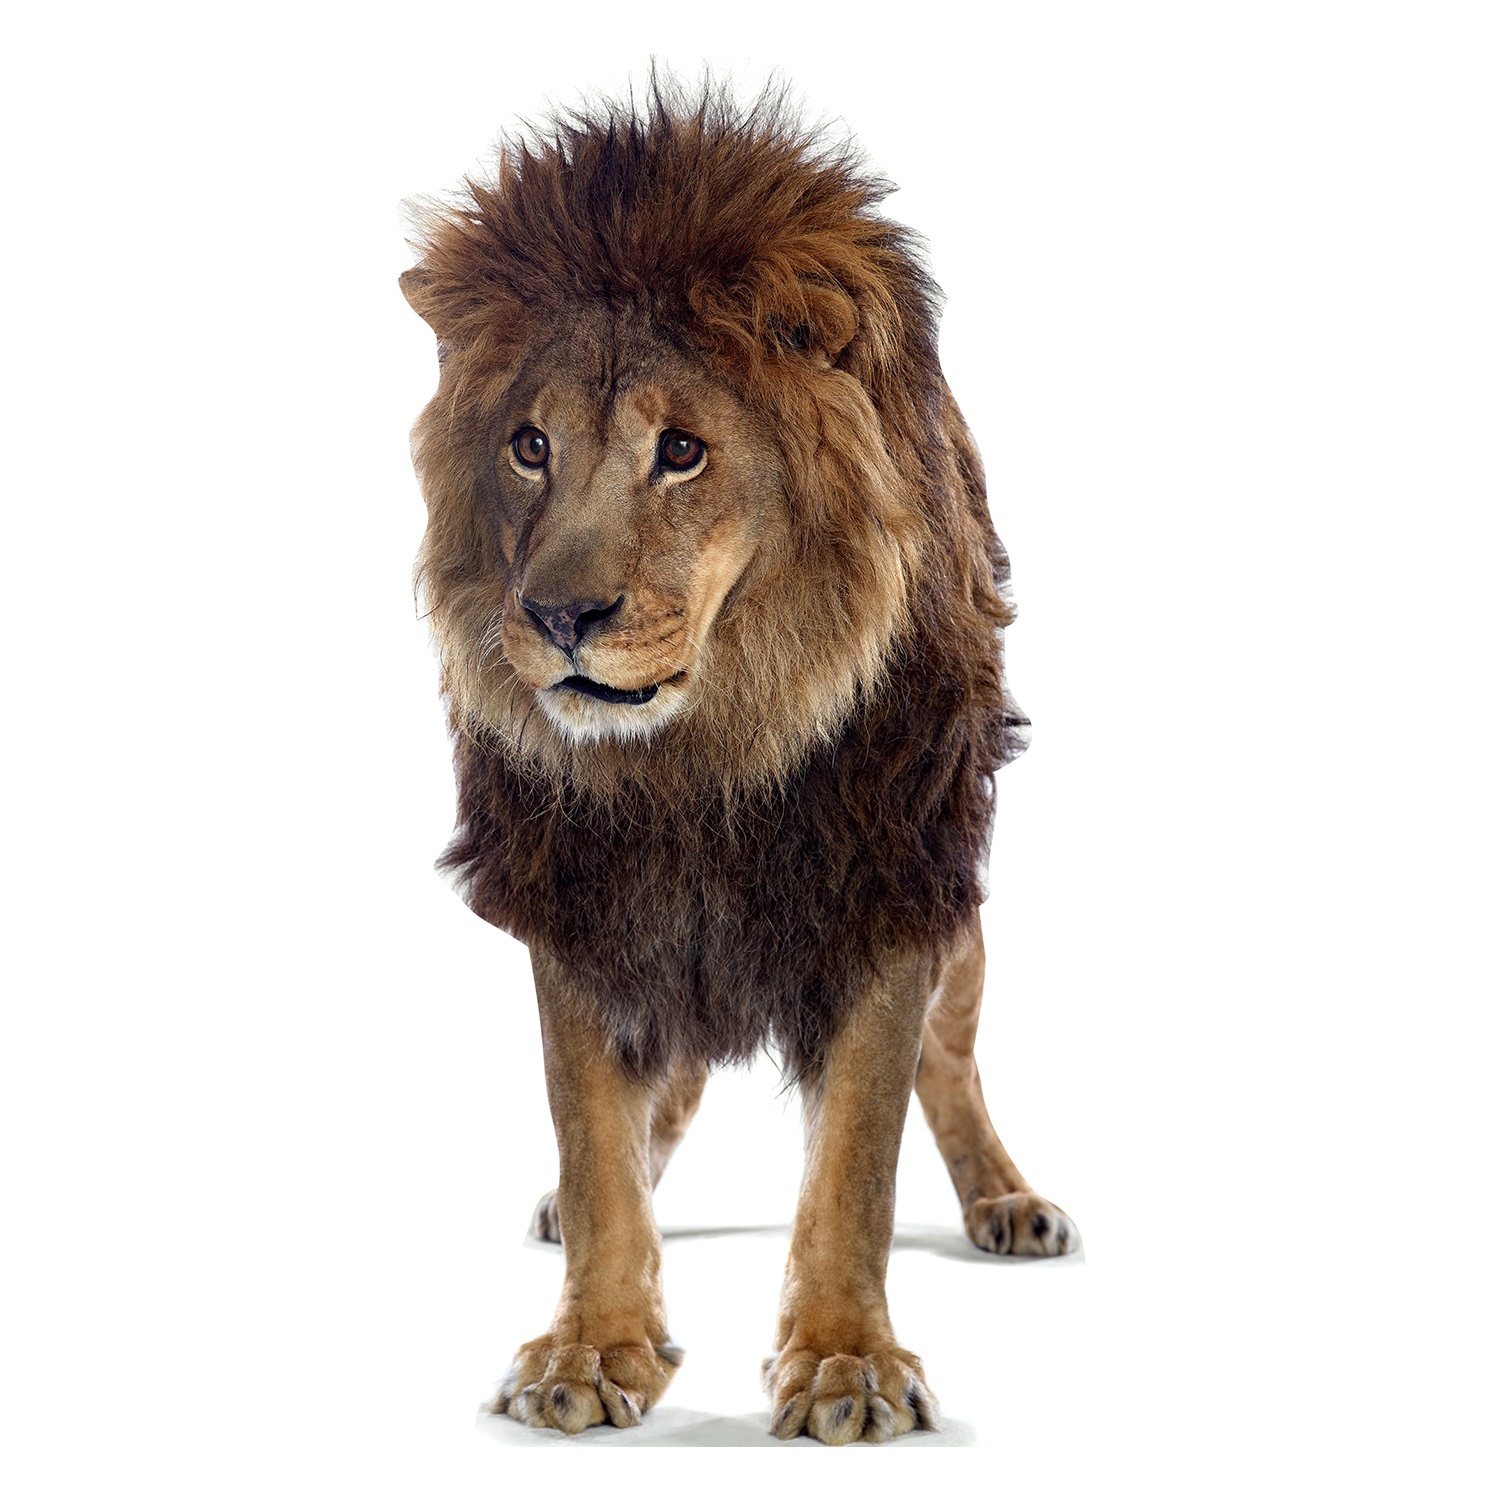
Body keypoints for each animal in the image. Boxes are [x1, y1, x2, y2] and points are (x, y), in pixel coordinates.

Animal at [401, 80, 1079, 1445]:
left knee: (951, 1064)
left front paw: (846, 1365)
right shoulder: (577, 899)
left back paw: (1005, 1200)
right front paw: (590, 1348)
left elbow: (859, 1161)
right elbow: (595, 1147)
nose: (557, 617)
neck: (699, 757)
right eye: (530, 447)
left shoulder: (888, 885)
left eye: (683, 451)